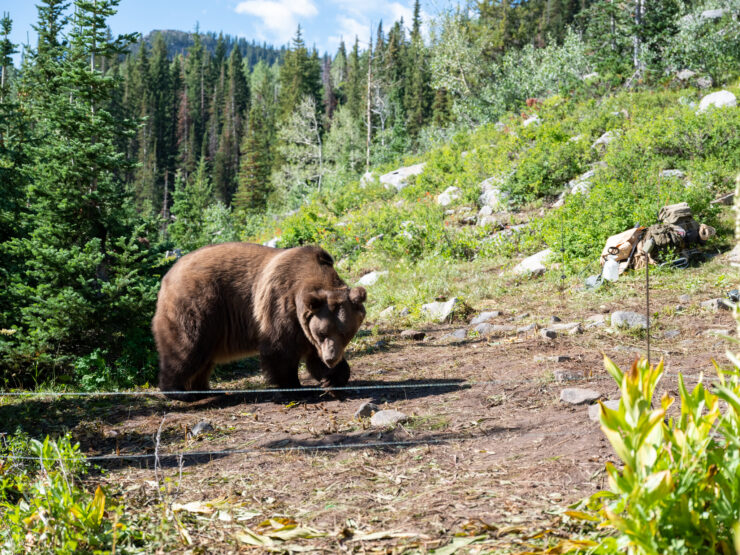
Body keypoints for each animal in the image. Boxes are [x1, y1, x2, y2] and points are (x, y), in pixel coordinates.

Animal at [151, 243, 366, 401]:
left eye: (345, 333)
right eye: (322, 332)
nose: (331, 358)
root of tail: (168, 274)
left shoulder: (305, 327)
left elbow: (314, 358)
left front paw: (332, 380)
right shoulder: (281, 308)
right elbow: (280, 352)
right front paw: (294, 388)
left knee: (203, 357)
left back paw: (205, 389)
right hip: (198, 305)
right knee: (186, 347)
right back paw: (178, 391)